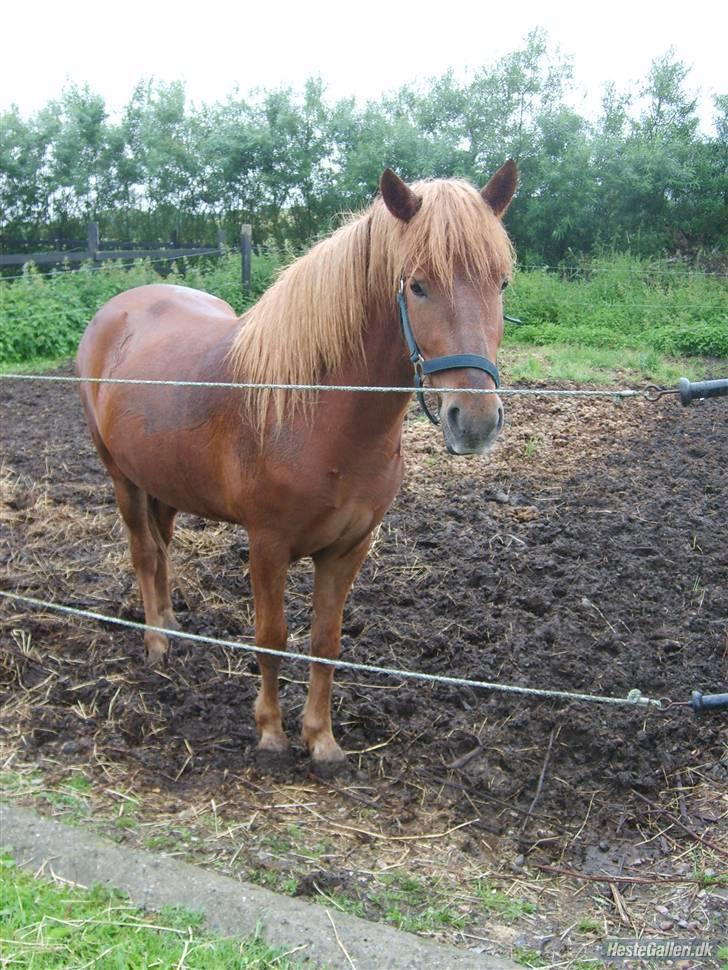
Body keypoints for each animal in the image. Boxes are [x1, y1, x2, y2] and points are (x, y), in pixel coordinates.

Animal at [75, 163, 516, 768]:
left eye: (501, 282)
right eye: (418, 284)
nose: (474, 421)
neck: (317, 411)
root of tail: (115, 310)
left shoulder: (349, 548)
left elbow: (325, 642)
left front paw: (321, 739)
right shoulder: (268, 544)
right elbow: (272, 637)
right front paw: (270, 733)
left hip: (161, 479)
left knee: (162, 548)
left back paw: (170, 623)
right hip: (121, 477)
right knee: (144, 553)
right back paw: (157, 642)